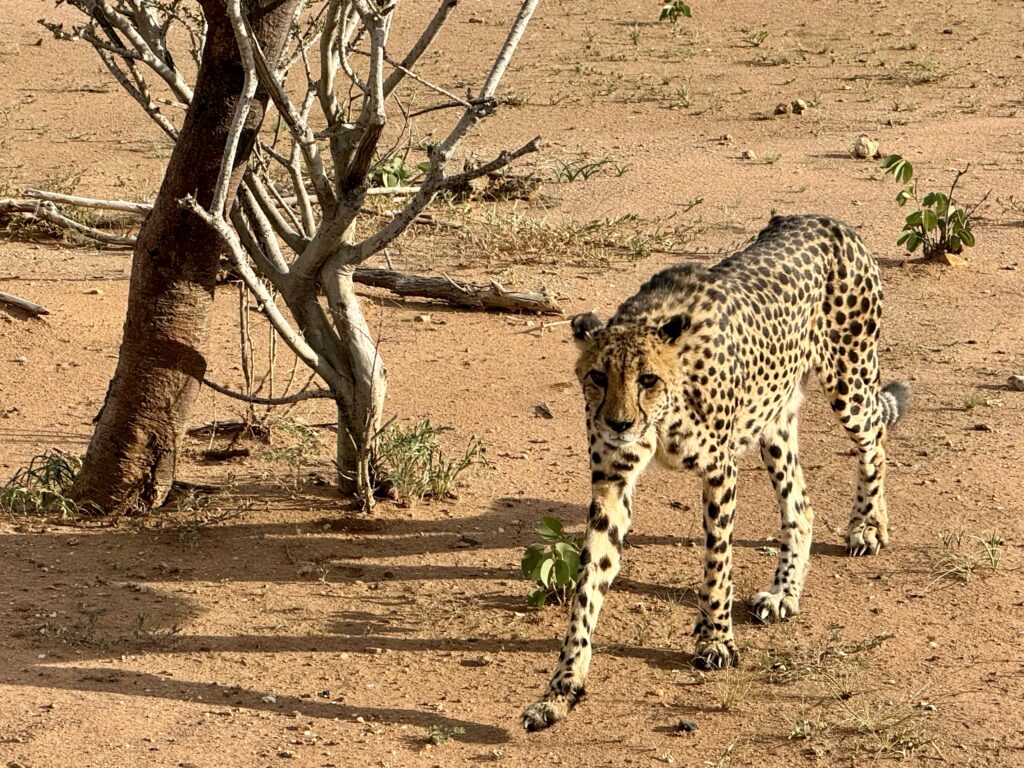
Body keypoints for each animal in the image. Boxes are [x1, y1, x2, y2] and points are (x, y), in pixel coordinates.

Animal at [524, 215, 909, 733]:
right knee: (801, 504)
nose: (619, 424)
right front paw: (562, 687)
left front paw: (716, 639)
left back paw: (868, 524)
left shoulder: (720, 470)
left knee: (875, 438)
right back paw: (784, 592)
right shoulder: (612, 485)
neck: (664, 412)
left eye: (647, 379)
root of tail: (822, 220)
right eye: (598, 376)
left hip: (848, 382)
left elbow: (717, 562)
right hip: (773, 419)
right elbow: (587, 586)